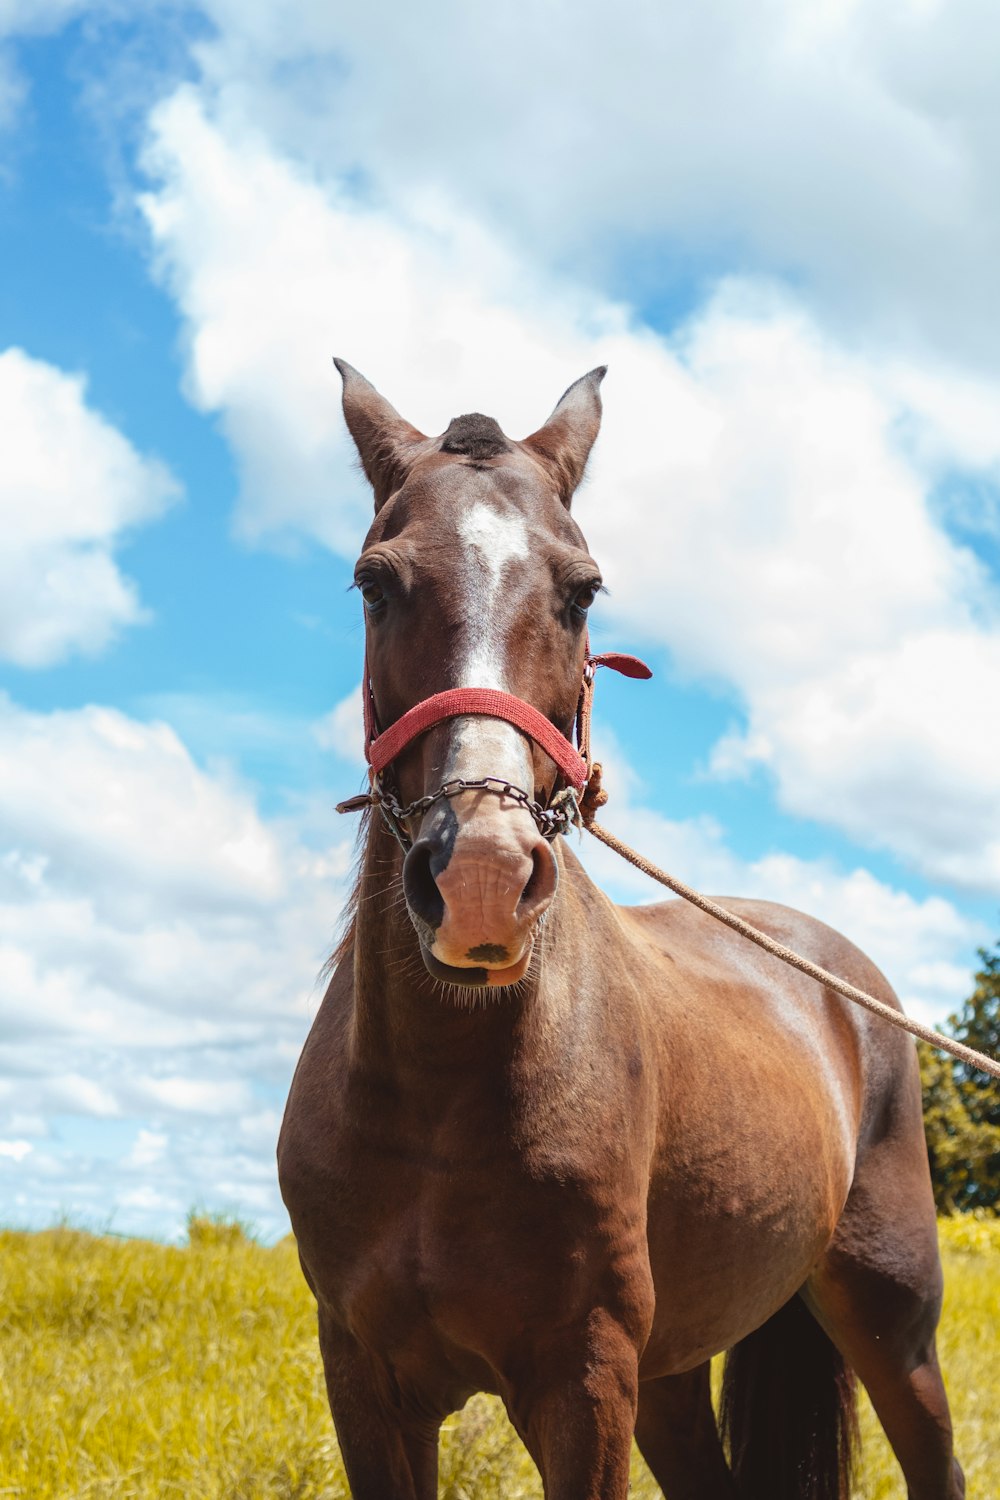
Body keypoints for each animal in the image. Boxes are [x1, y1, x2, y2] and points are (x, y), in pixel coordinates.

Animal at [277, 363, 965, 1500]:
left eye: (582, 591)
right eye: (375, 583)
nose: (480, 877)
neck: (436, 1101)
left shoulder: (585, 1382)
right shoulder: (365, 1383)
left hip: (890, 1320)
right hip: (677, 1375)